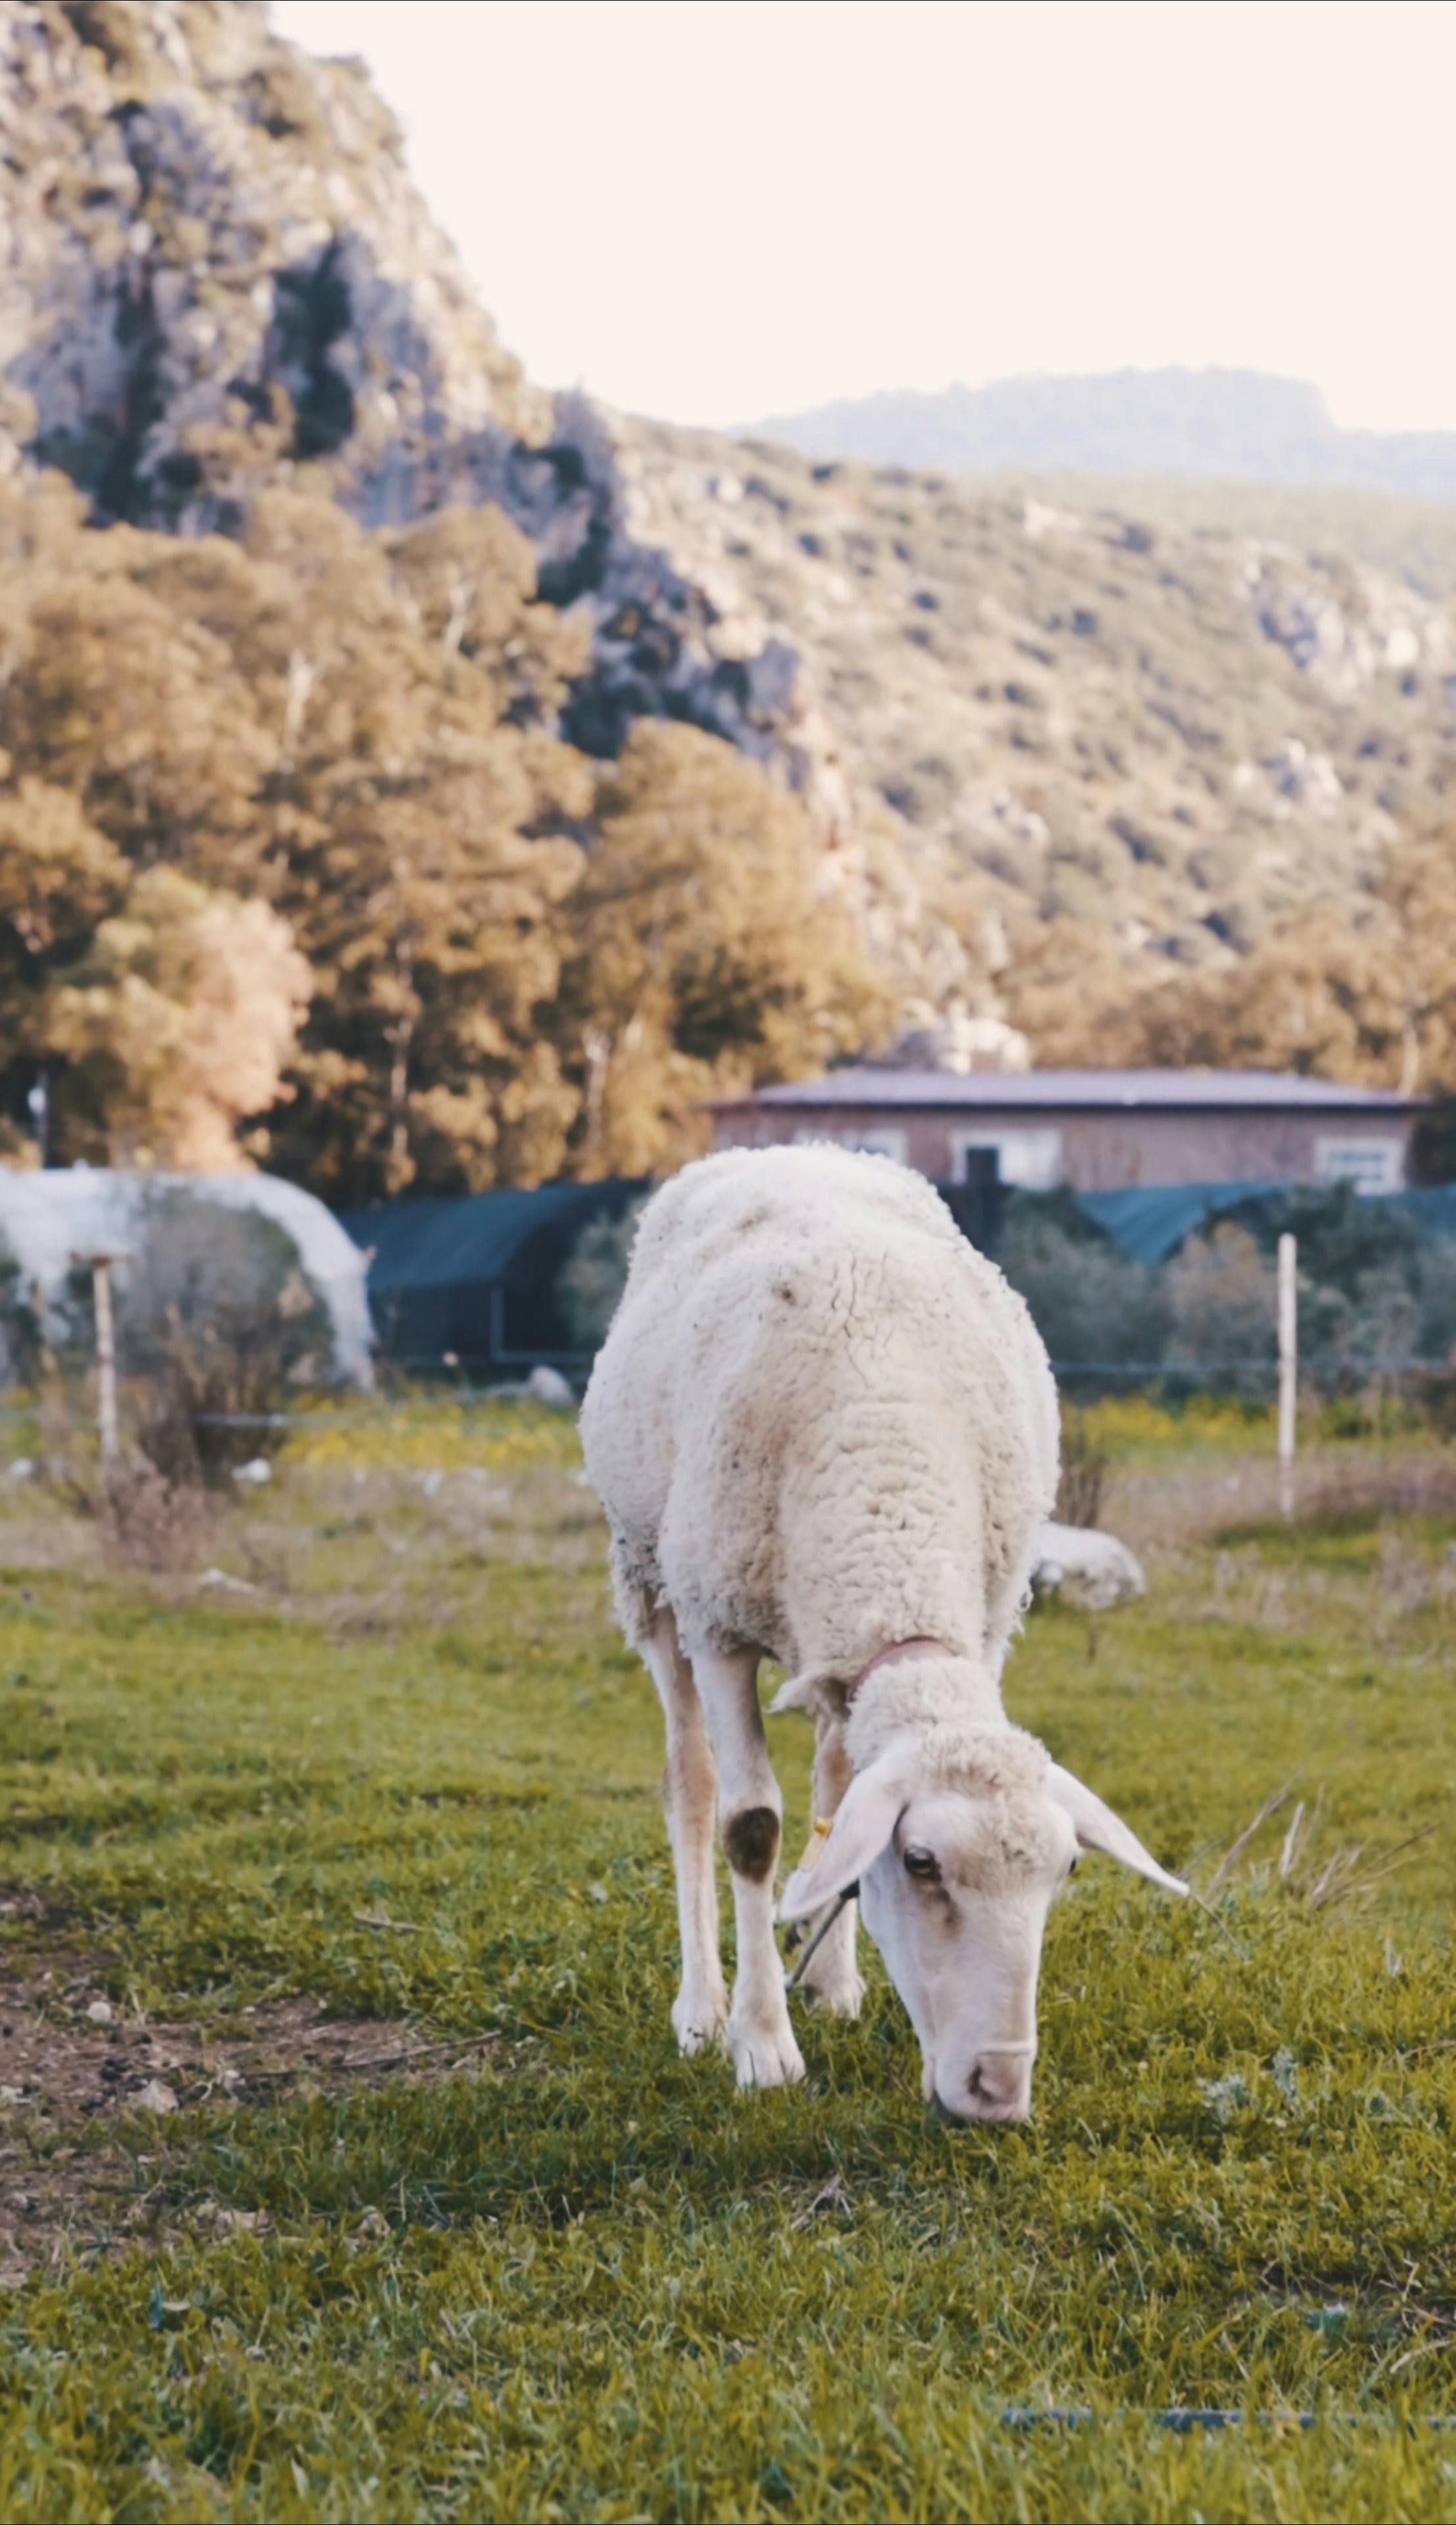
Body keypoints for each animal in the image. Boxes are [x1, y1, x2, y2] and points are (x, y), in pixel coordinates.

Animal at [580, 1141, 1181, 2111]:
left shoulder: (987, 1620)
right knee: (691, 1785)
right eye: (922, 1863)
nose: (996, 2088)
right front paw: (760, 2045)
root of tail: (792, 1146)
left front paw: (818, 1974)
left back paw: (829, 1976)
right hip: (650, 1579)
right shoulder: (718, 1629)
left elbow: (843, 1809)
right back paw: (701, 2008)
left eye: (1067, 1871)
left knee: (836, 1777)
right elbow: (751, 1826)